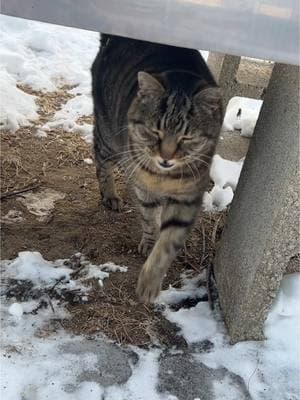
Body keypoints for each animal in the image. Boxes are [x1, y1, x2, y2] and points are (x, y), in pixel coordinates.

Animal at [91, 34, 223, 304]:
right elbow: (149, 218)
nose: (166, 157)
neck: (164, 177)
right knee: (100, 158)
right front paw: (149, 241)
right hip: (108, 135)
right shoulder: (145, 188)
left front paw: (150, 282)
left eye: (186, 138)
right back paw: (110, 194)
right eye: (155, 131)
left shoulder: (187, 199)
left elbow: (168, 243)